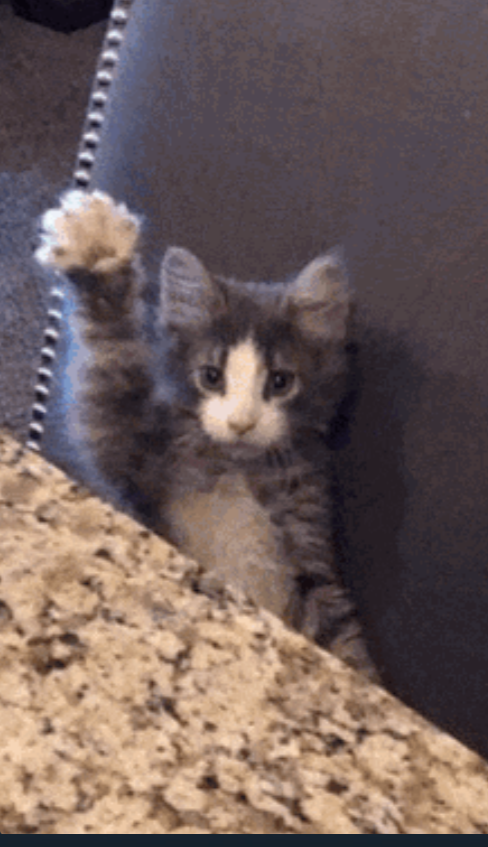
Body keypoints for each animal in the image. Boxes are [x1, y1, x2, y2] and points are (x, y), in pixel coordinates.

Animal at [35, 189, 376, 678]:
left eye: (280, 382)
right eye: (211, 376)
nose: (241, 423)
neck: (237, 467)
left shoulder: (309, 549)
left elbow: (343, 639)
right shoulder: (137, 459)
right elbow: (109, 366)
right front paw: (98, 254)